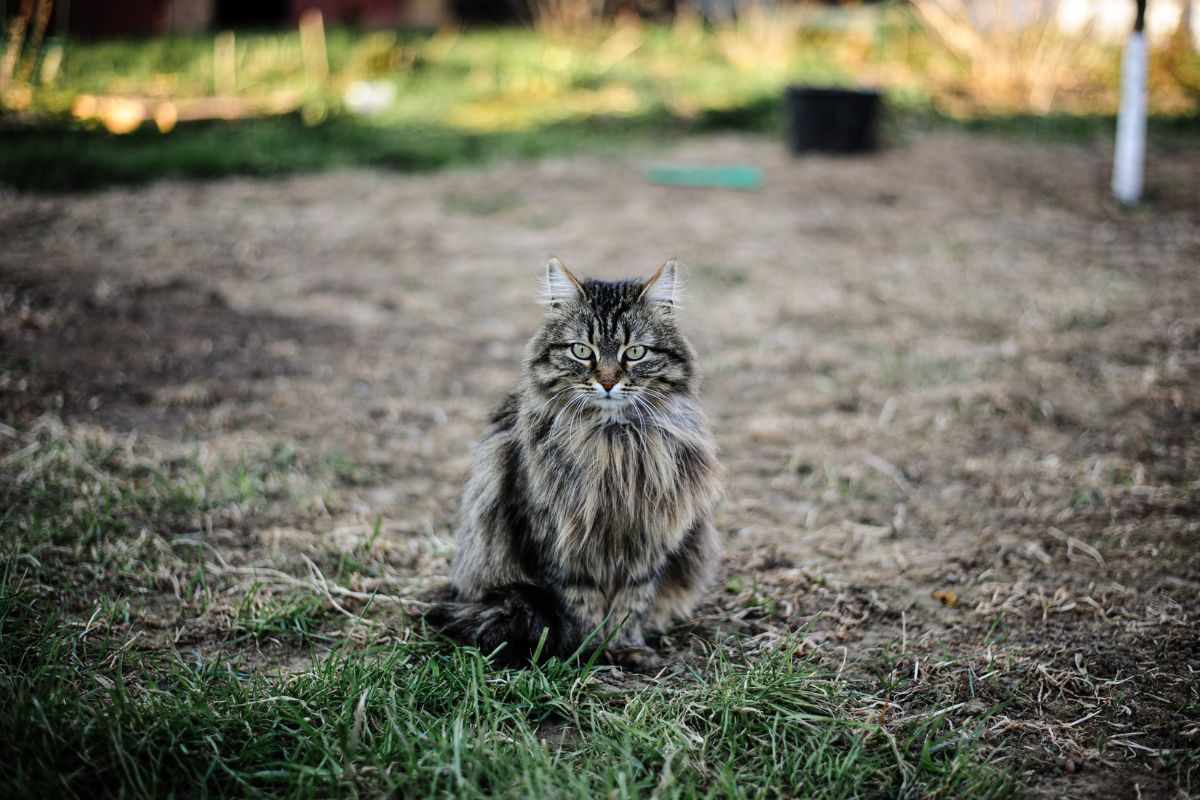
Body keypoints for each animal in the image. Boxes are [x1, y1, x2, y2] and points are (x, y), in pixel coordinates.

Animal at [432, 256, 720, 671]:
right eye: (582, 351)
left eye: (635, 353)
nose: (608, 382)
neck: (614, 442)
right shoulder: (558, 541)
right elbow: (580, 604)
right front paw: (590, 650)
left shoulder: (645, 538)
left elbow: (631, 604)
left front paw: (626, 648)